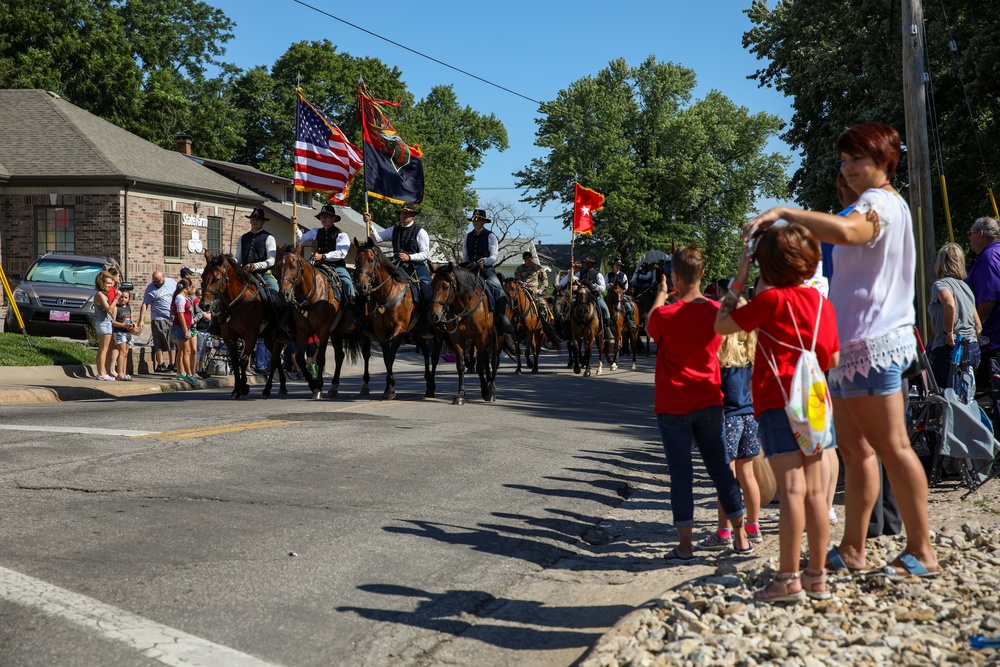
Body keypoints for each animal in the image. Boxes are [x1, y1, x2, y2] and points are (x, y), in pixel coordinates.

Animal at [198, 253, 286, 400]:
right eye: (202, 277)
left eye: (217, 278)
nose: (204, 305)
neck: (238, 302)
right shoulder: (229, 337)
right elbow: (235, 361)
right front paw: (236, 390)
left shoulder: (251, 336)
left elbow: (243, 361)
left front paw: (244, 387)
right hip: (268, 338)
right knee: (277, 358)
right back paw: (282, 386)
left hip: (277, 337)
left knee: (274, 360)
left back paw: (268, 389)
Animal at [274, 247, 368, 400]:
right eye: (277, 267)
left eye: (293, 266)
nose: (284, 294)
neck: (312, 293)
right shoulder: (302, 332)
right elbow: (300, 359)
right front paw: (312, 384)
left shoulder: (323, 331)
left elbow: (320, 358)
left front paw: (318, 387)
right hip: (336, 333)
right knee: (339, 356)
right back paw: (334, 386)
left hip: (362, 331)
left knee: (365, 353)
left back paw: (365, 385)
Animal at [356, 239, 442, 400]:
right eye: (357, 260)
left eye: (371, 260)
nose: (361, 287)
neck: (387, 293)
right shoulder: (380, 331)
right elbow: (386, 357)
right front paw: (389, 386)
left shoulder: (399, 329)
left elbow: (391, 355)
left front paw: (390, 389)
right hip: (417, 332)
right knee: (425, 351)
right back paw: (428, 382)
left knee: (434, 355)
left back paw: (432, 386)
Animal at [426, 264, 500, 404]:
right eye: (431, 286)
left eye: (446, 287)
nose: (433, 316)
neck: (465, 307)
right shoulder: (456, 338)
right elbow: (460, 365)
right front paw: (460, 394)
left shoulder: (481, 336)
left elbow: (480, 366)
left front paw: (486, 391)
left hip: (494, 335)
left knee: (494, 360)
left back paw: (492, 388)